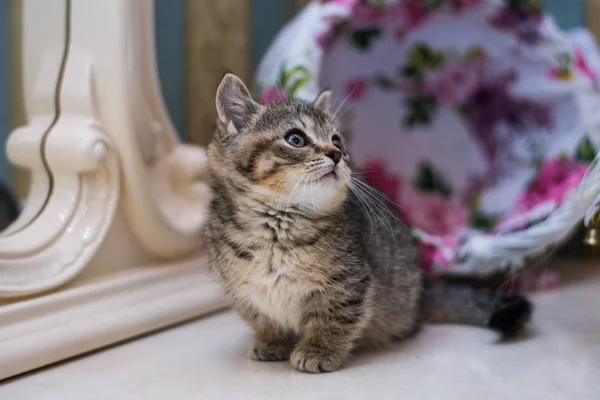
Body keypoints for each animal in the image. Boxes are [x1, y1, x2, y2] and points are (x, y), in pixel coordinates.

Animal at [204, 73, 532, 374]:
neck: (277, 229)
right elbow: (262, 318)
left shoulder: (348, 282)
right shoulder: (242, 290)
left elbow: (335, 318)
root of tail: (422, 291)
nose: (336, 154)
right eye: (295, 139)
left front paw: (319, 350)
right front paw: (272, 341)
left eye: (337, 140)